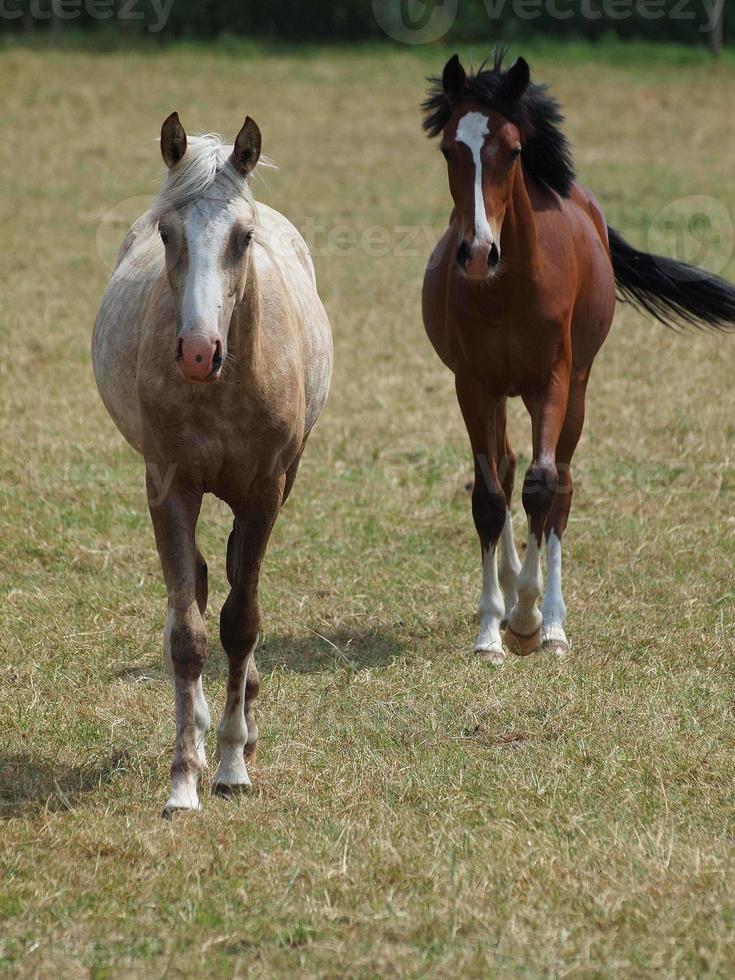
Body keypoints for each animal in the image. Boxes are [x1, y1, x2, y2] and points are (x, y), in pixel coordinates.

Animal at [92, 115, 334, 816]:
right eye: (168, 233)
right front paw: (184, 776)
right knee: (200, 583)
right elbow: (189, 633)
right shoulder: (168, 487)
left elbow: (241, 621)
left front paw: (231, 764)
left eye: (241, 237)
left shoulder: (264, 492)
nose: (199, 352)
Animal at [422, 53, 735, 668]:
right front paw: (491, 632)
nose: (478, 253)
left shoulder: (553, 381)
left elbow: (543, 488)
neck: (507, 286)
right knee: (506, 468)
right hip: (499, 393)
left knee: (559, 487)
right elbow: (489, 496)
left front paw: (529, 620)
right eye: (449, 149)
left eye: (514, 149)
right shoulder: (473, 384)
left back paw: (551, 623)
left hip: (579, 388)